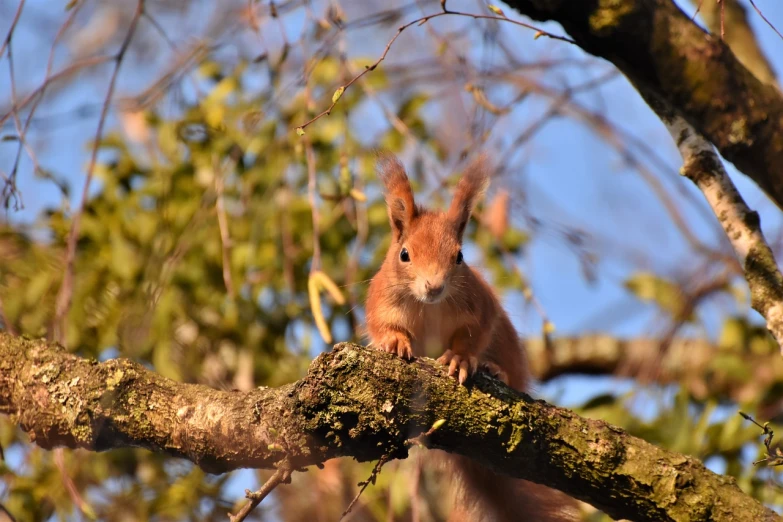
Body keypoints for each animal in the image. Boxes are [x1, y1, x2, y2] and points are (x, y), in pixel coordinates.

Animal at [366, 153, 576, 520]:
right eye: (404, 254)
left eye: (459, 256)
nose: (433, 286)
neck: (429, 307)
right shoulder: (380, 301)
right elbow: (382, 326)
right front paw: (394, 341)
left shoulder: (481, 308)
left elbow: (472, 338)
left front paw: (461, 359)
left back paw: (495, 371)